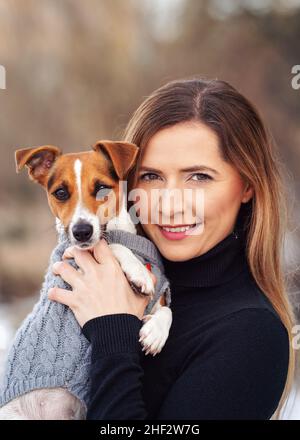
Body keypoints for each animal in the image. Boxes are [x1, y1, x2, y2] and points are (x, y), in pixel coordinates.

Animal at [0, 142, 173, 420]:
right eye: (60, 193)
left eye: (101, 188)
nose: (81, 232)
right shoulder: (73, 254)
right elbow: (111, 245)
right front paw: (138, 271)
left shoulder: (157, 298)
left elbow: (167, 311)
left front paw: (155, 333)